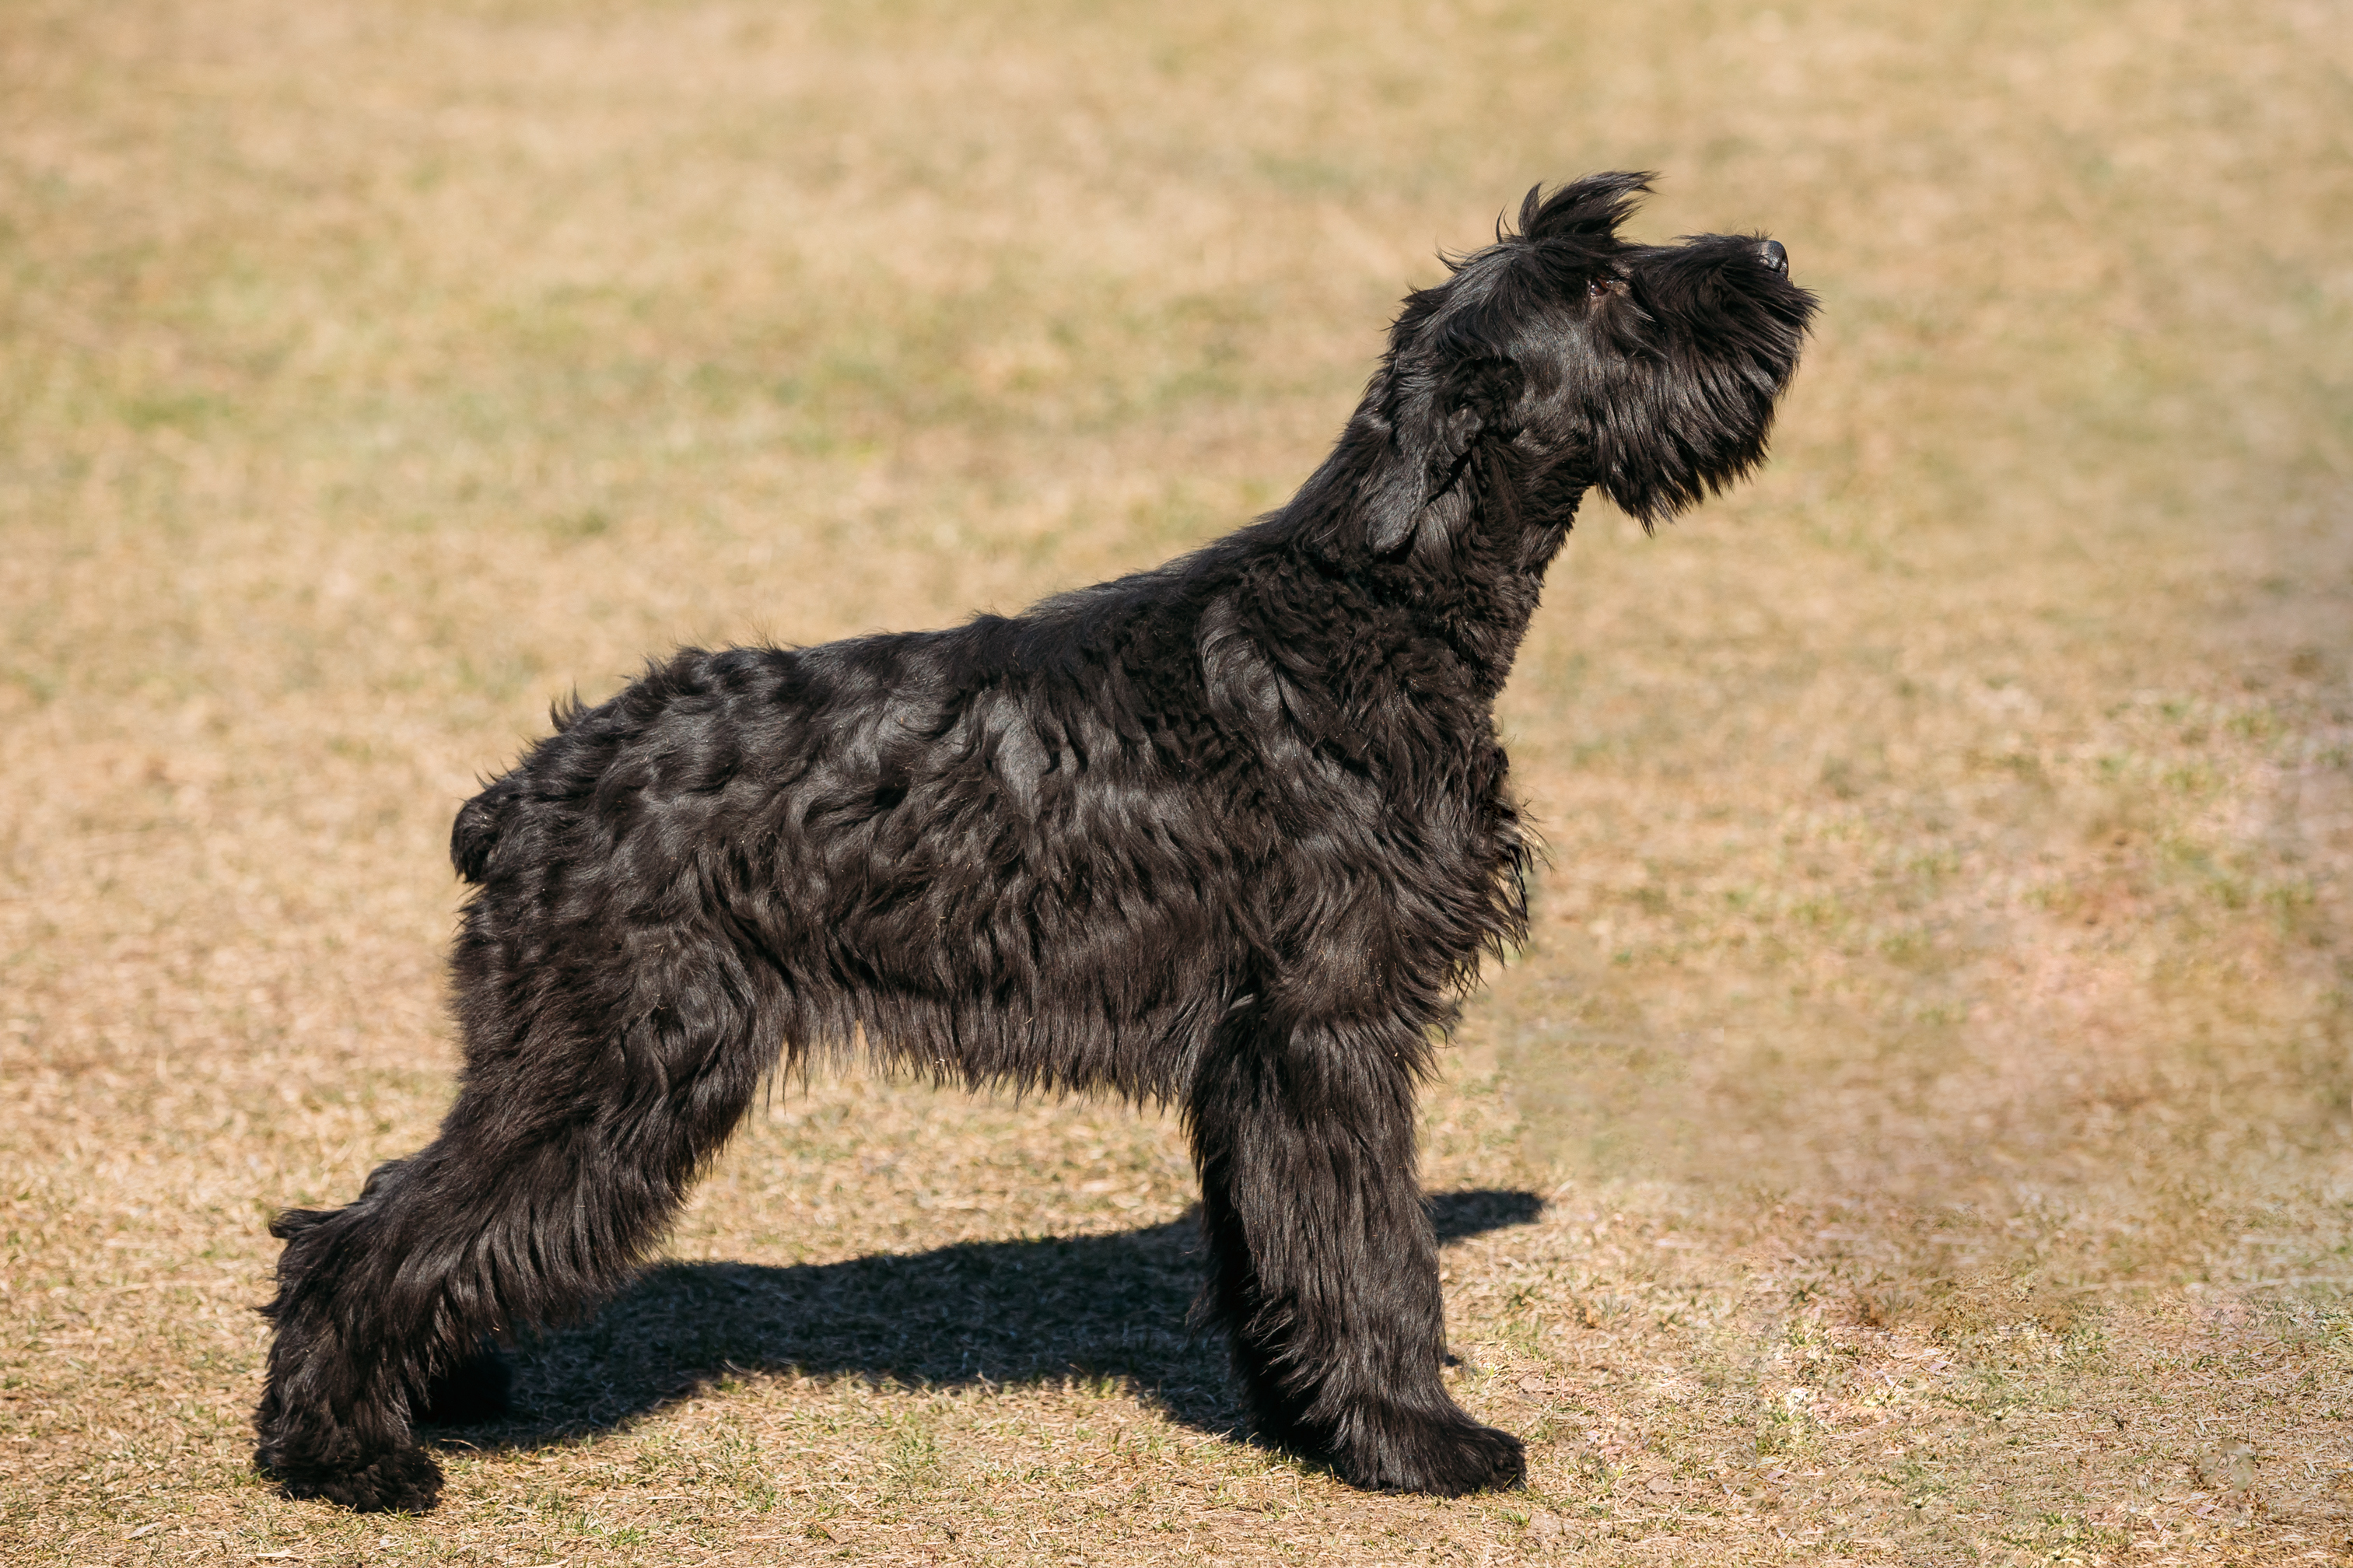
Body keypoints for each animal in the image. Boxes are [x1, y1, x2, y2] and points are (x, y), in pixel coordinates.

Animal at [257, 177, 1816, 1507]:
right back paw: (350, 1456)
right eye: (1609, 287)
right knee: (356, 1237)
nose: (1776, 254)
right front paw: (1417, 1440)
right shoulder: (1332, 1026)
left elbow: (1276, 1247)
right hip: (615, 1066)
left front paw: (1304, 1419)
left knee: (395, 1207)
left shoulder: (1255, 1057)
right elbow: (1374, 1247)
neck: (1370, 613)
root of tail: (524, 791)